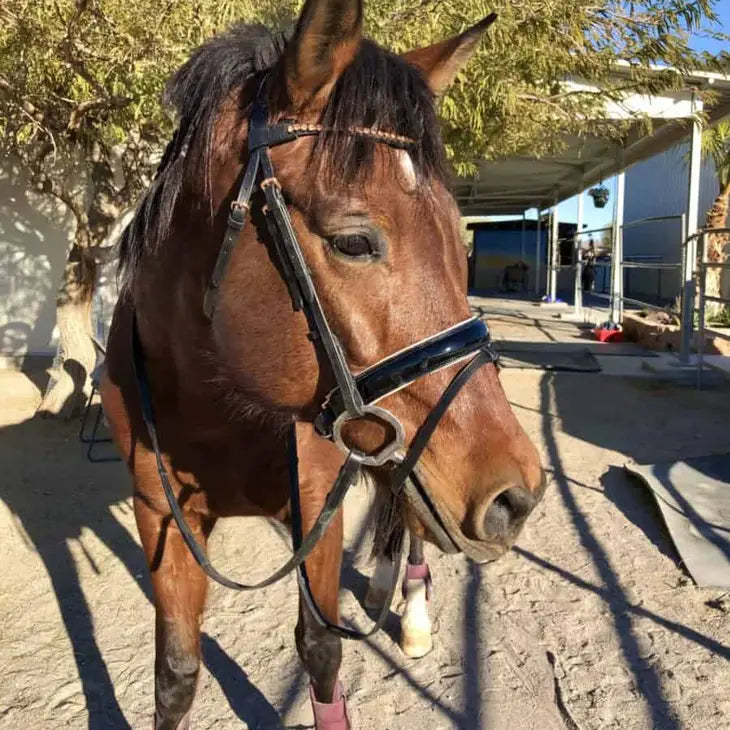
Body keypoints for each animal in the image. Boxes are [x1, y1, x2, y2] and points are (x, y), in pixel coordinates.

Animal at [101, 2, 544, 724]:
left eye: (460, 242)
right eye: (354, 242)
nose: (518, 495)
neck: (215, 405)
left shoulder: (317, 508)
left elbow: (320, 650)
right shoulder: (158, 514)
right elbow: (175, 673)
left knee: (407, 524)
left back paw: (411, 608)